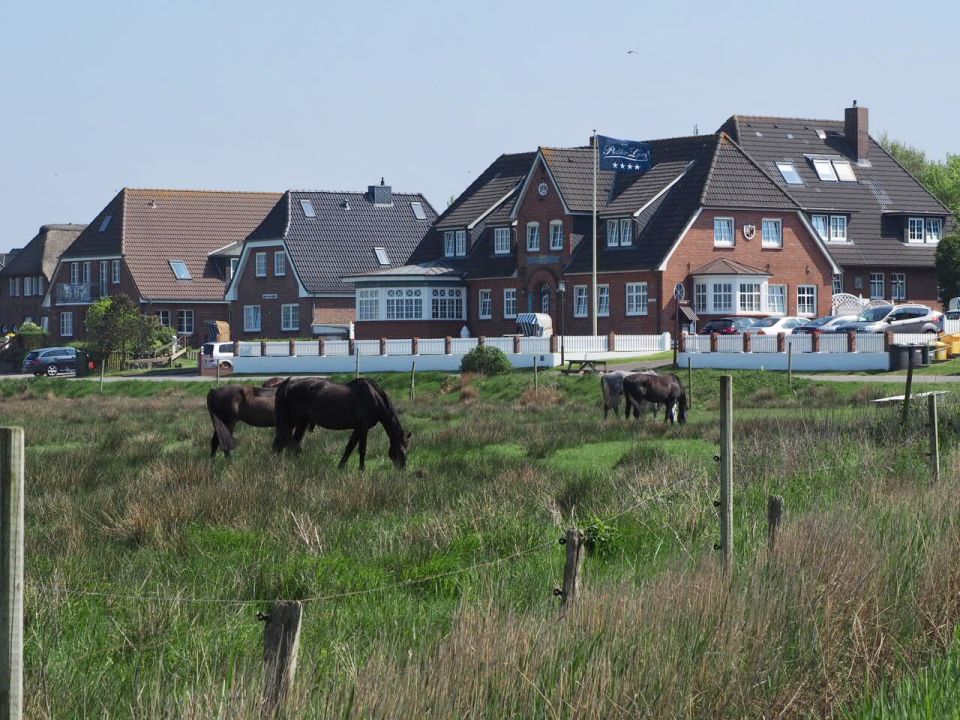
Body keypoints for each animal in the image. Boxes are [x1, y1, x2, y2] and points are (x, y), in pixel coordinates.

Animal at [272, 376, 410, 472]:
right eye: (400, 450)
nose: (403, 470)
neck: (374, 397)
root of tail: (289, 383)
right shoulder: (363, 427)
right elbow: (362, 449)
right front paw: (362, 470)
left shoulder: (357, 428)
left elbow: (349, 448)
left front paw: (340, 467)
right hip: (292, 421)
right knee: (281, 443)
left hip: (301, 423)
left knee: (289, 443)